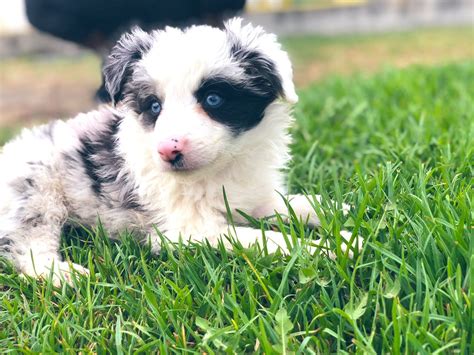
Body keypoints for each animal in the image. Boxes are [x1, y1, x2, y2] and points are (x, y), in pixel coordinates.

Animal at [0, 18, 360, 286]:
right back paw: (61, 274)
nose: (166, 151)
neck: (218, 168)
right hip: (36, 192)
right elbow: (266, 239)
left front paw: (335, 210)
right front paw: (336, 246)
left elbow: (287, 204)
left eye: (214, 99)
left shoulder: (252, 196)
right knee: (26, 243)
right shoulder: (191, 231)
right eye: (153, 106)